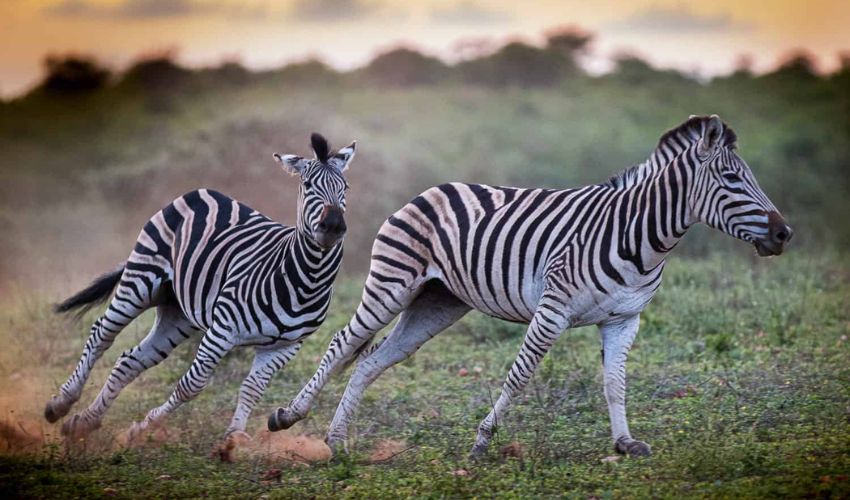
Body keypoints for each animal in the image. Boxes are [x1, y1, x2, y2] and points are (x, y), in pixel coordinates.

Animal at [44, 133, 356, 451]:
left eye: (344, 188)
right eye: (307, 186)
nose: (332, 225)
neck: (306, 281)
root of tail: (204, 191)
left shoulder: (285, 346)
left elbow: (252, 388)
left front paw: (233, 438)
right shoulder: (223, 330)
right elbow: (191, 385)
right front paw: (141, 430)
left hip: (178, 312)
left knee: (131, 360)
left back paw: (84, 422)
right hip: (141, 278)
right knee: (101, 335)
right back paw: (60, 404)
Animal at [267, 115, 793, 458]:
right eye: (732, 178)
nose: (784, 234)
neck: (641, 236)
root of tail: (430, 189)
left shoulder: (625, 318)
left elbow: (615, 382)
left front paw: (624, 442)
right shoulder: (553, 309)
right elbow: (519, 376)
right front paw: (482, 440)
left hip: (438, 303)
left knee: (374, 359)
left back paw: (337, 441)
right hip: (392, 283)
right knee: (343, 342)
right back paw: (288, 416)